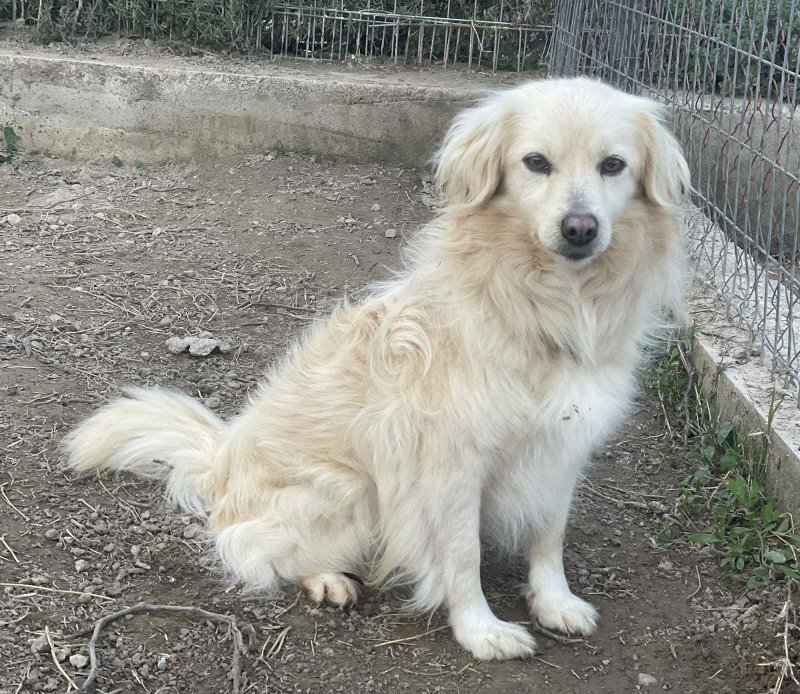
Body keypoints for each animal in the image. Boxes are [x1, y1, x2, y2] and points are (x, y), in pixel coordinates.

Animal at [63, 77, 689, 661]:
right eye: (536, 162)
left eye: (613, 165)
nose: (581, 228)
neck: (542, 306)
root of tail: (221, 461)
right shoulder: (450, 465)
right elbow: (462, 555)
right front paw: (480, 630)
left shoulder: (562, 447)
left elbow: (548, 536)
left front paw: (554, 601)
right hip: (351, 492)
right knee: (247, 546)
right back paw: (325, 578)